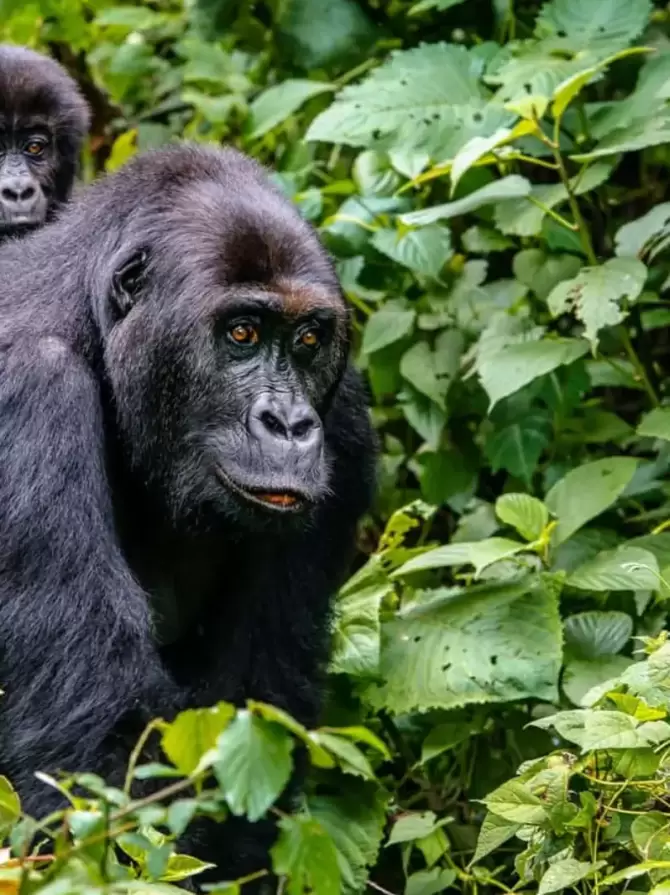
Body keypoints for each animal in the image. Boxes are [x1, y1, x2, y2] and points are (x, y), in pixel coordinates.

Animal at [0, 145, 378, 876]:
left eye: (309, 341)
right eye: (242, 332)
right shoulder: (27, 392)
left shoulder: (343, 420)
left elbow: (257, 720)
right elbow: (96, 764)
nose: (290, 424)